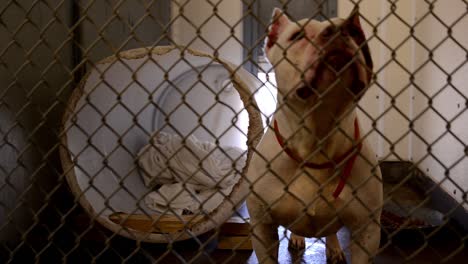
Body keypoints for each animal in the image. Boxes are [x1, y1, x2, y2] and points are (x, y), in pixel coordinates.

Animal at [247, 7, 382, 262]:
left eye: (354, 32)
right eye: (297, 36)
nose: (339, 30)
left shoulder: (367, 231)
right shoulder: (262, 227)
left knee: (330, 231)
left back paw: (334, 247)